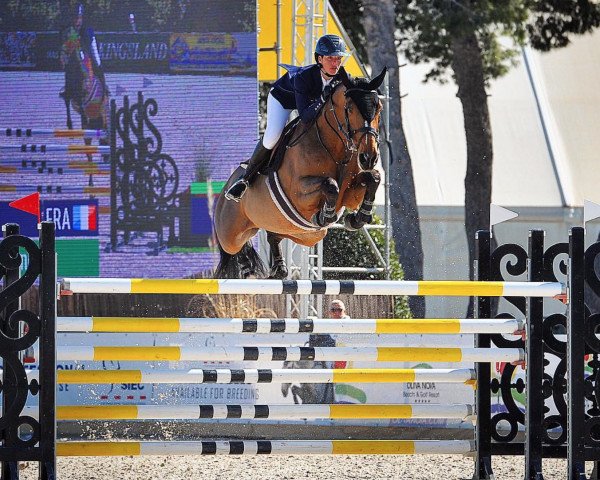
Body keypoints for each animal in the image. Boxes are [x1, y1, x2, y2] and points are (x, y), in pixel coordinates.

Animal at [213, 66, 386, 280]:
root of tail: (224, 189)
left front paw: (358, 218)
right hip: (229, 235)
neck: (335, 148)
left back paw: (278, 268)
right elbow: (330, 184)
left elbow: (373, 178)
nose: (369, 158)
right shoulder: (299, 192)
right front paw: (325, 216)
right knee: (236, 248)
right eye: (349, 108)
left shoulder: (349, 194)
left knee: (273, 235)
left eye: (379, 108)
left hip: (302, 234)